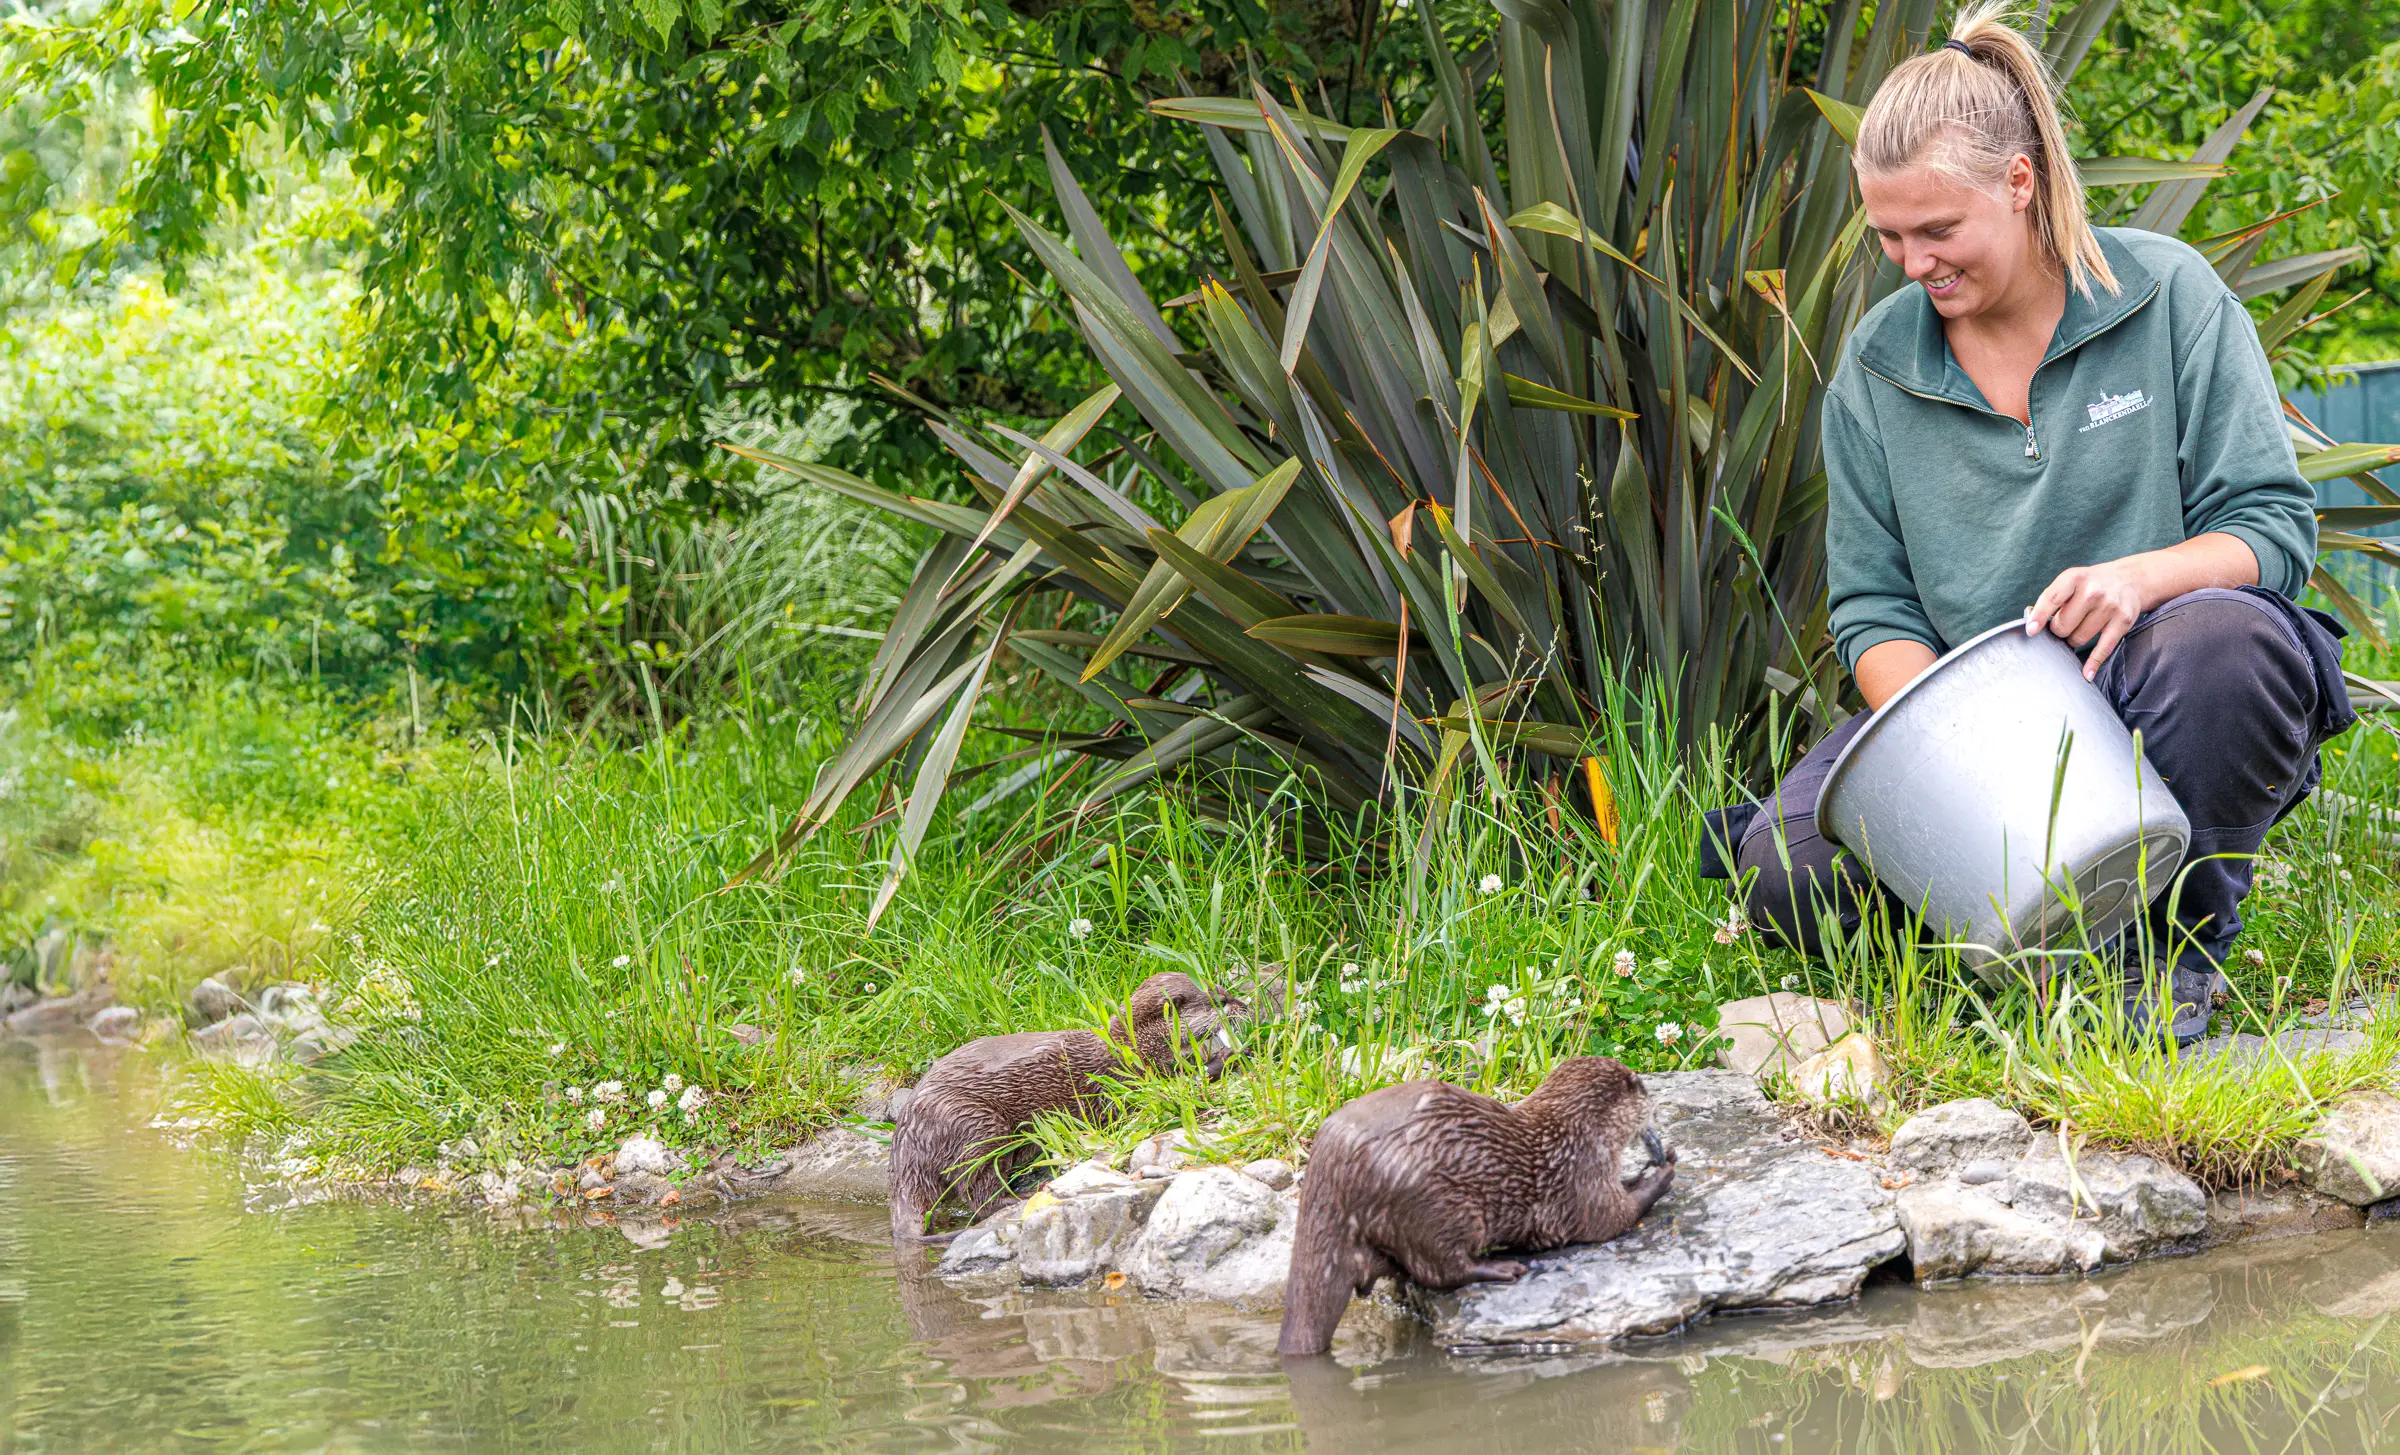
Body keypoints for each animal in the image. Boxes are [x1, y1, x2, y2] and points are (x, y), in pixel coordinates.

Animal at [889, 971, 1237, 1241]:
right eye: (1219, 1000)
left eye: (1223, 989)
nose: (1241, 1003)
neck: (1130, 1047)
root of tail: (906, 1141)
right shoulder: (1123, 1083)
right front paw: (1227, 1056)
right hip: (974, 1122)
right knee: (977, 1187)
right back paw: (1019, 1196)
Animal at [1276, 1056, 1675, 1356]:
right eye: (1644, 1092)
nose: (1654, 1117)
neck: (1574, 1132)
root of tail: (1333, 1160)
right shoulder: (1581, 1179)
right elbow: (1610, 1219)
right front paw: (1661, 1174)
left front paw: (1642, 1172)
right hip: (1440, 1209)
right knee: (1441, 1270)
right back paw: (1502, 1268)